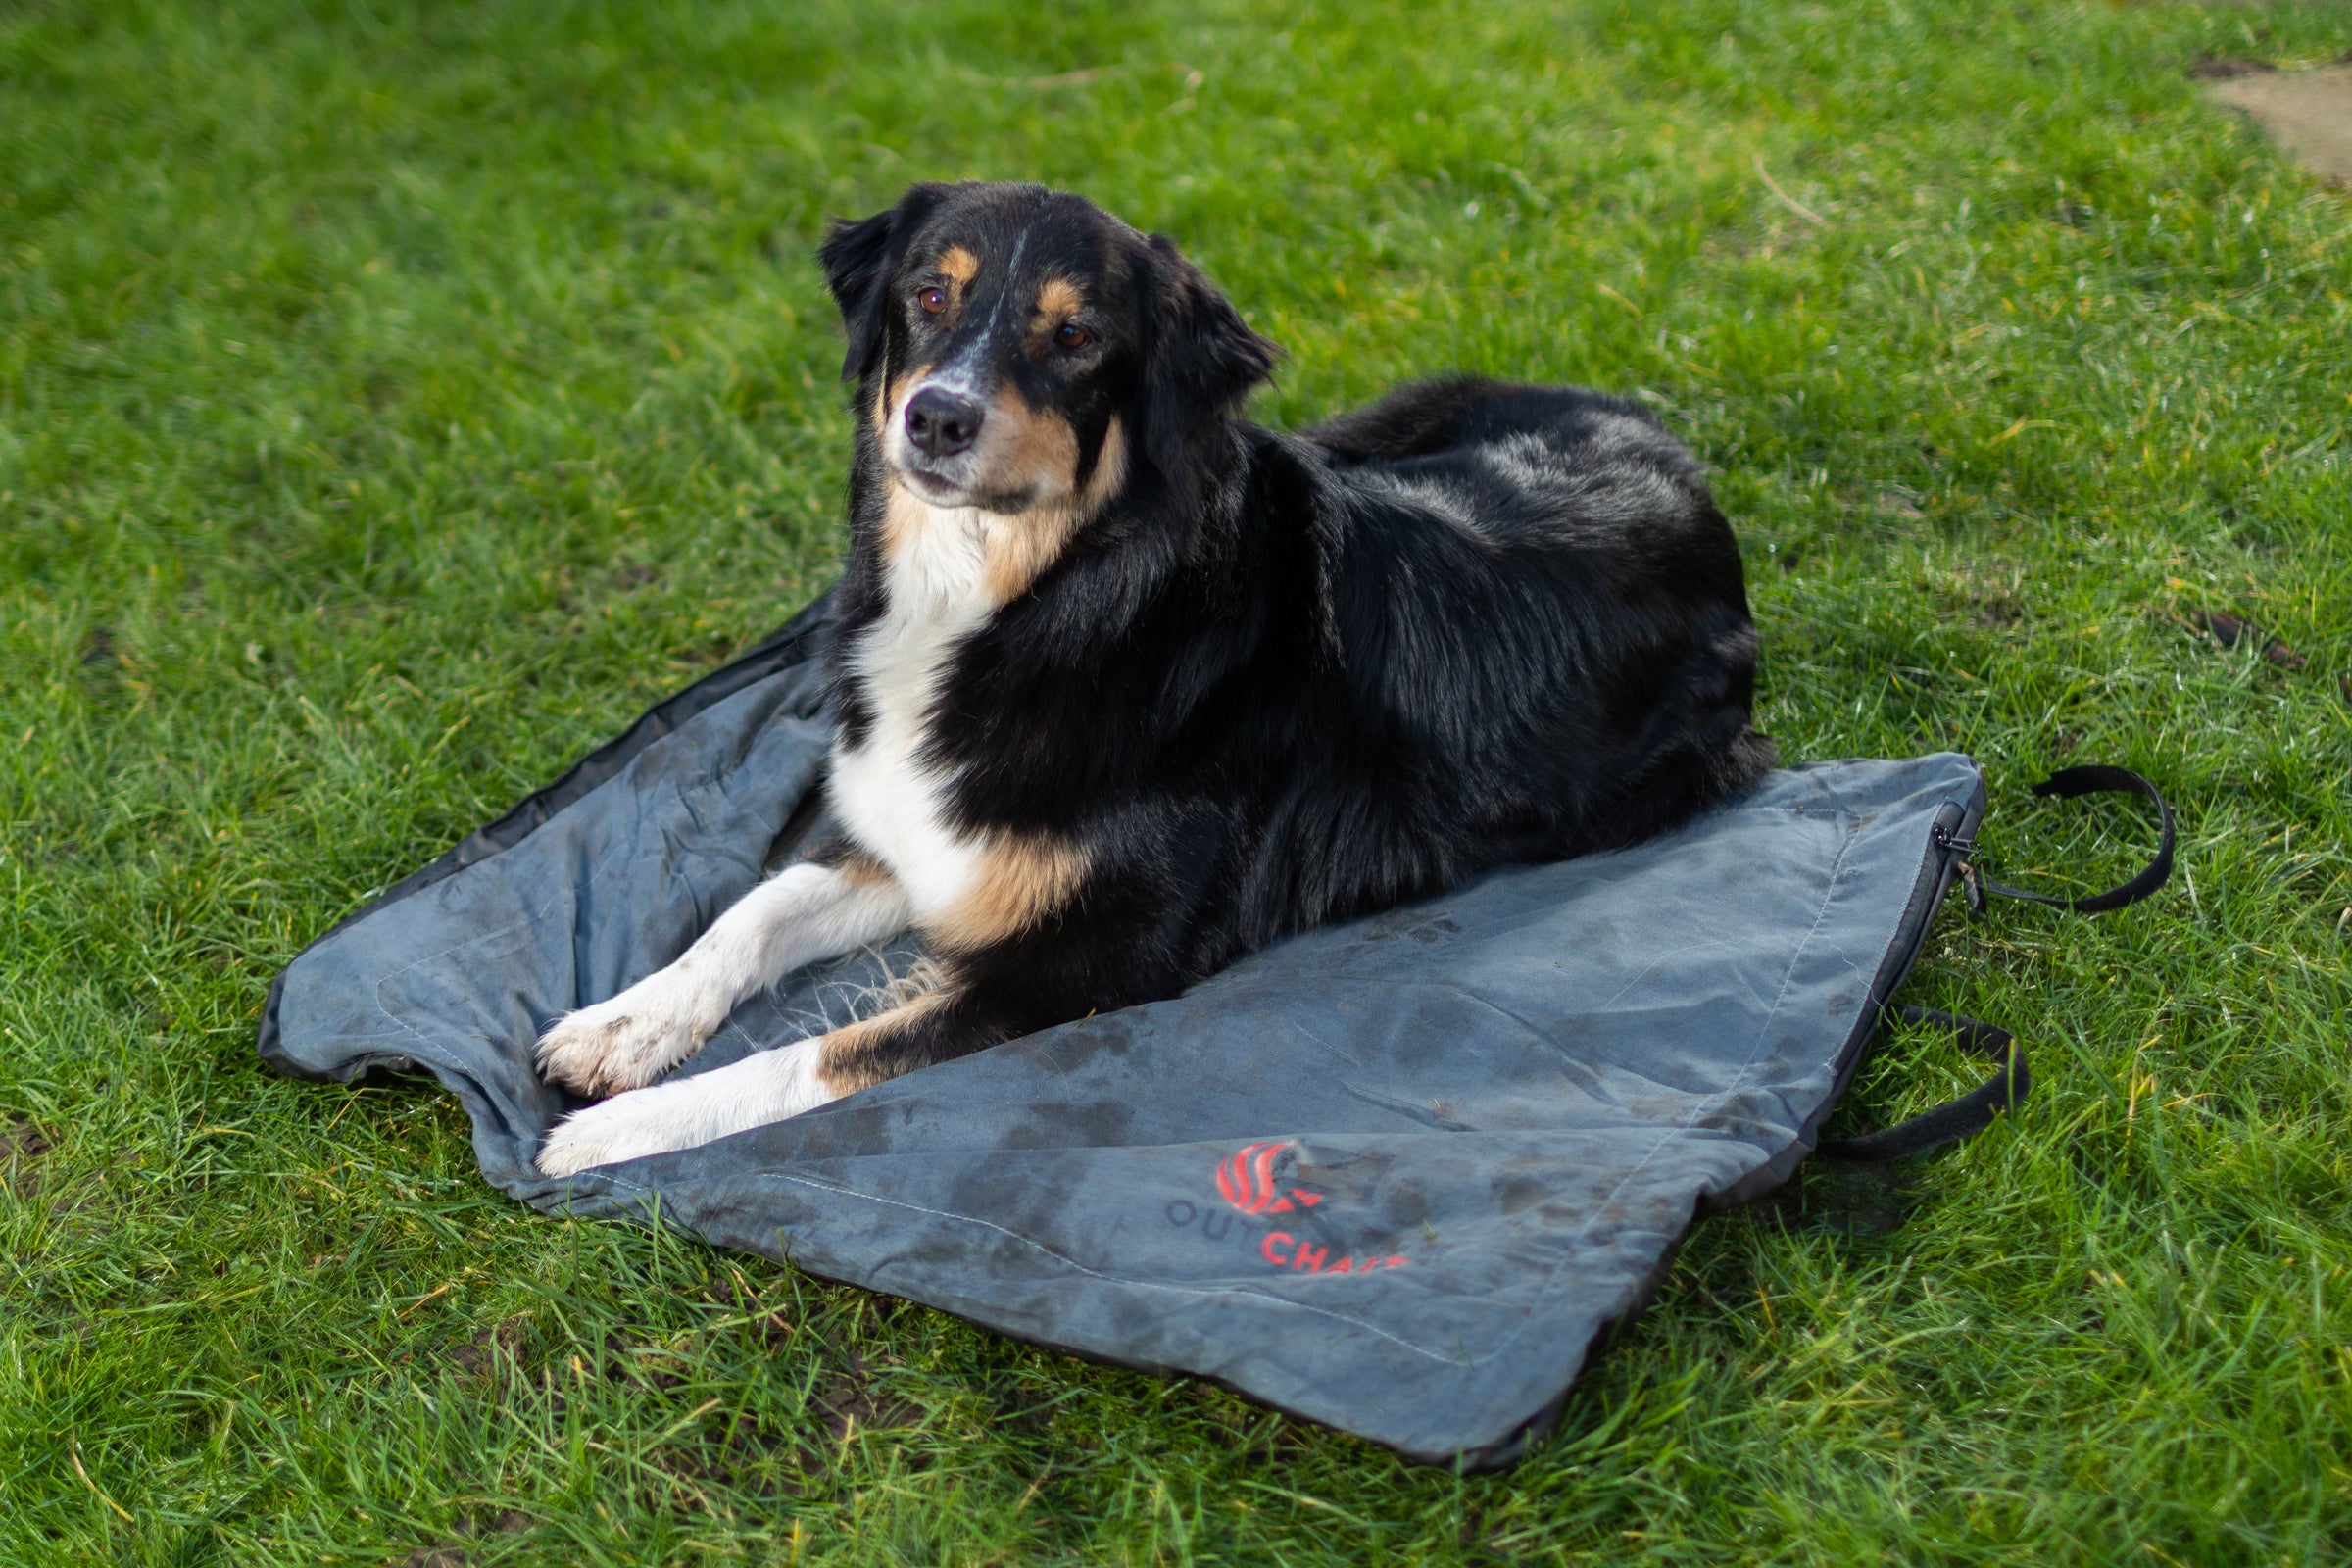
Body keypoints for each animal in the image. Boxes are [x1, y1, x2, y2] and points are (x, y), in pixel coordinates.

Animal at [538, 174, 1768, 1175]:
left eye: (1077, 335)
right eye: (929, 296)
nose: (934, 417)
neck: (1028, 601)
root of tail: (1679, 462)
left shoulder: (1088, 960)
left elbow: (823, 1053)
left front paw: (619, 1130)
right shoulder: (914, 832)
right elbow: (757, 909)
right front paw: (624, 1025)